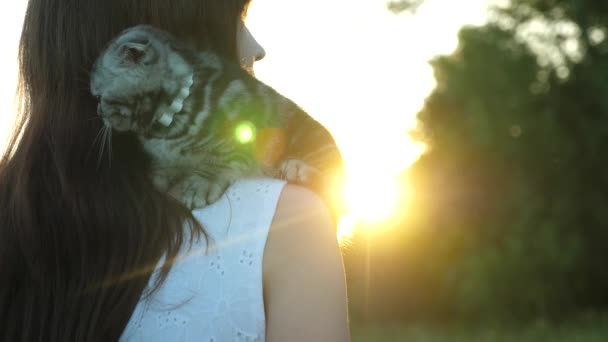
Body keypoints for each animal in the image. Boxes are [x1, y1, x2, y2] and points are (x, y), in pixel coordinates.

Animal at [92, 25, 344, 211]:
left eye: (98, 97)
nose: (98, 113)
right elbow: (166, 163)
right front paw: (160, 174)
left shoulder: (248, 126)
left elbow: (221, 157)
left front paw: (202, 182)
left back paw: (298, 170)